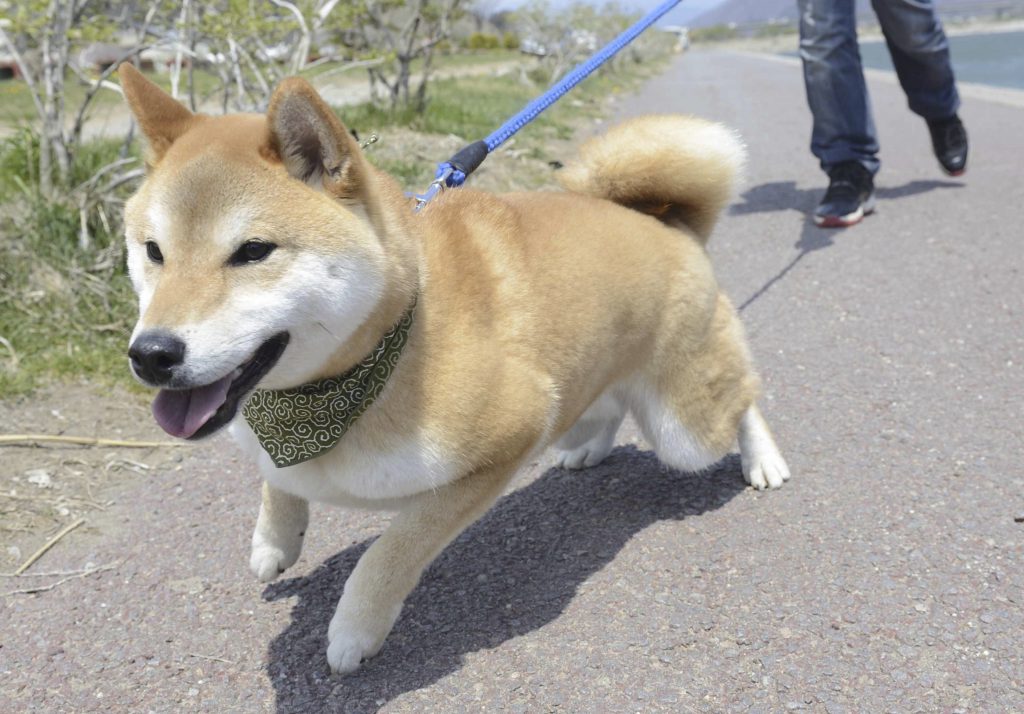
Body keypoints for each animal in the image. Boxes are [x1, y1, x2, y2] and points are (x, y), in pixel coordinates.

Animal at [119, 62, 790, 672]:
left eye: (253, 252)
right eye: (153, 251)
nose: (151, 353)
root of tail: (666, 220)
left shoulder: (502, 444)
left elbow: (389, 552)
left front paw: (354, 630)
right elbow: (275, 479)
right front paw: (274, 541)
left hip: (684, 427)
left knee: (741, 397)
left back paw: (763, 459)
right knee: (609, 403)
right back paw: (589, 448)